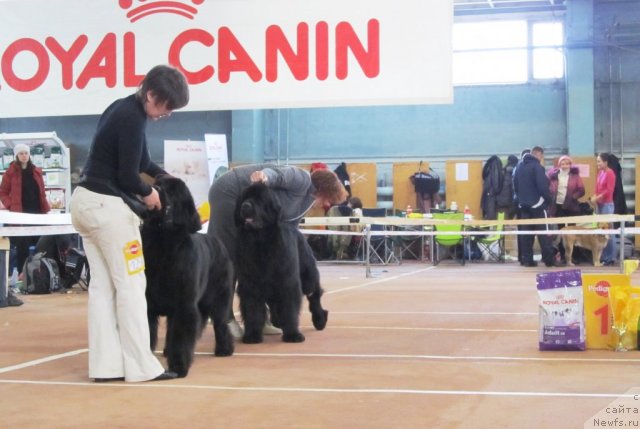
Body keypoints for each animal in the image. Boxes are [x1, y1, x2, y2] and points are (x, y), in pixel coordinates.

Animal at [140, 174, 235, 374]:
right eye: (158, 183)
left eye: (173, 192)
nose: (154, 189)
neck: (163, 243)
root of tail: (218, 242)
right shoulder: (148, 304)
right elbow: (149, 332)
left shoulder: (184, 304)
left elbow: (181, 336)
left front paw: (178, 365)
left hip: (218, 297)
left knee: (221, 323)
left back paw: (224, 349)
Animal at [232, 182, 328, 342]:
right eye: (244, 198)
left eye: (260, 199)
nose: (245, 206)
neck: (260, 241)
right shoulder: (250, 283)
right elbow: (252, 310)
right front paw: (252, 335)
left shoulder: (287, 281)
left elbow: (289, 308)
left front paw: (293, 335)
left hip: (307, 275)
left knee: (314, 295)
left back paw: (320, 319)